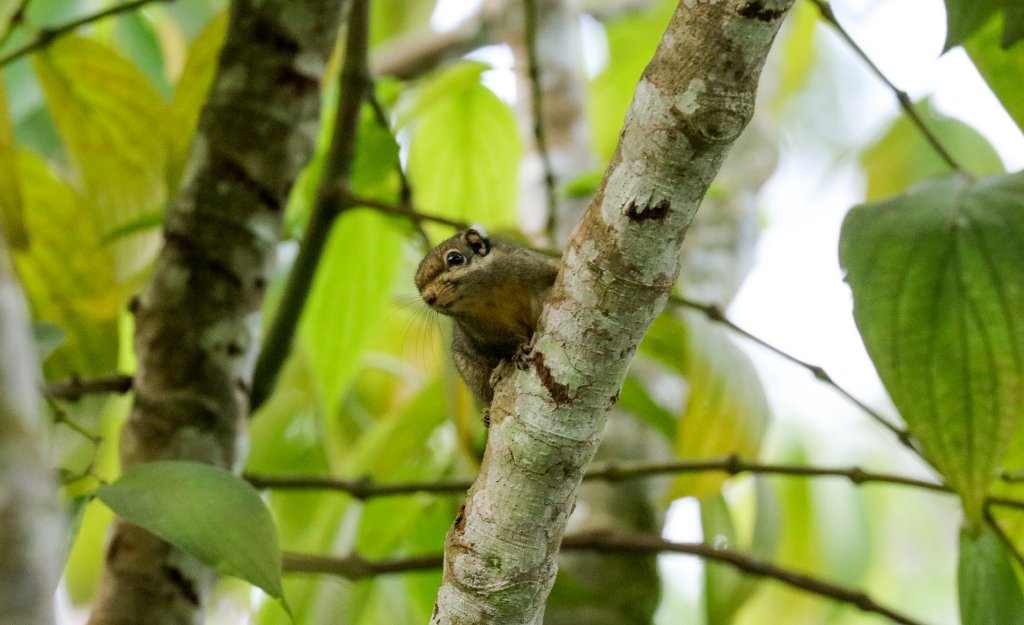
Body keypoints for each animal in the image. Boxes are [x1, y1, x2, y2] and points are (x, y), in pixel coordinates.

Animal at [415, 228, 559, 417]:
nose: (428, 298)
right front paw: (519, 350)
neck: (487, 293)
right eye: (418, 287)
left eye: (455, 258)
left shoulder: (530, 264)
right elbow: (502, 342)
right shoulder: (481, 330)